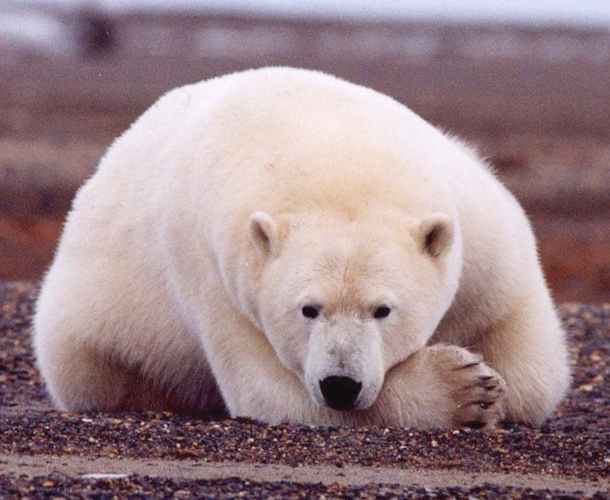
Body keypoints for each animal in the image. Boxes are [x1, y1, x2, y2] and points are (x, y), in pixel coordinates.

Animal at [33, 67, 568, 430]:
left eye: (382, 309)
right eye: (309, 309)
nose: (341, 384)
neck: (335, 157)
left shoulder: (479, 227)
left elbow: (527, 359)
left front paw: (493, 382)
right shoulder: (218, 275)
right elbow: (270, 392)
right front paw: (465, 388)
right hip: (92, 329)